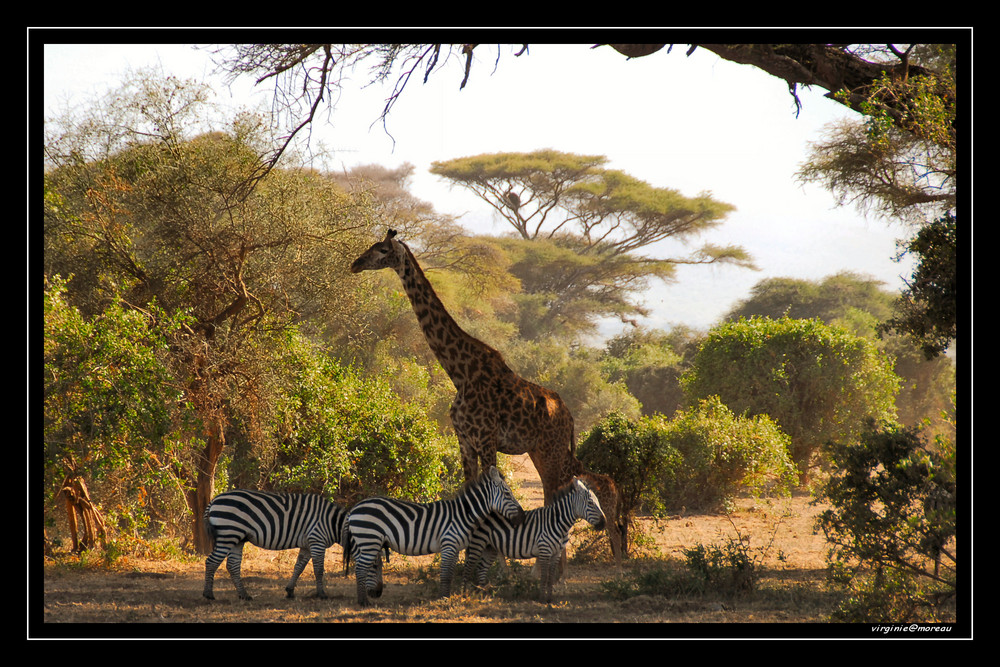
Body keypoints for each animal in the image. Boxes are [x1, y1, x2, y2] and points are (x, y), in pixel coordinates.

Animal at [201, 488, 350, 604]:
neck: (332, 522)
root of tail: (214, 500)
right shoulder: (317, 540)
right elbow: (318, 569)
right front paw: (322, 594)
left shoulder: (307, 545)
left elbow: (299, 567)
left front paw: (290, 591)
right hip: (228, 534)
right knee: (211, 561)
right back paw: (208, 594)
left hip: (237, 539)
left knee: (232, 565)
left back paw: (244, 595)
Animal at [346, 468, 524, 608]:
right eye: (507, 493)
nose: (522, 516)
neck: (463, 514)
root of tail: (354, 508)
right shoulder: (449, 544)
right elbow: (445, 575)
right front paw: (443, 598)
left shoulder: (455, 548)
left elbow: (450, 574)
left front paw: (447, 596)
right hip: (369, 540)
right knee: (360, 568)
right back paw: (363, 602)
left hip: (366, 542)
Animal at [348, 230, 620, 560]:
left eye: (382, 250)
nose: (355, 263)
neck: (459, 373)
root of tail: (568, 415)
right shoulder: (464, 441)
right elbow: (468, 499)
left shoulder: (486, 439)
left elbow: (490, 505)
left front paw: (494, 562)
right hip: (541, 452)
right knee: (570, 489)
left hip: (552, 451)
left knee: (589, 486)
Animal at [464, 478, 604, 604]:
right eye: (590, 503)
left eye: (598, 502)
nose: (604, 522)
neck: (558, 522)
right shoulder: (545, 550)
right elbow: (544, 576)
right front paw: (542, 599)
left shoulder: (556, 553)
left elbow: (551, 576)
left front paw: (549, 599)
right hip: (478, 543)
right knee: (469, 566)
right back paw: (467, 592)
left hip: (490, 547)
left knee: (481, 568)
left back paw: (483, 594)